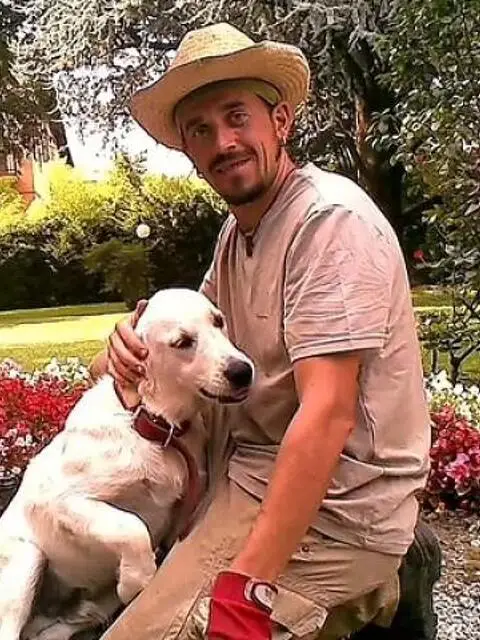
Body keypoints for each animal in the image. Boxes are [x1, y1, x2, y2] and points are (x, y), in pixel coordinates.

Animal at [0, 288, 254, 640]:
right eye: (182, 342)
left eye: (218, 321)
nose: (242, 371)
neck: (152, 425)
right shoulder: (62, 501)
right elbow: (131, 527)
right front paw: (137, 580)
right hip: (26, 561)